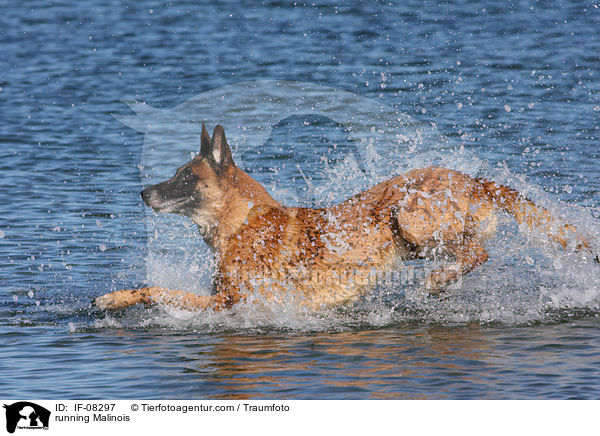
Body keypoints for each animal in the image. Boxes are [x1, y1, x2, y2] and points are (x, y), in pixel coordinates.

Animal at [94, 124, 596, 312]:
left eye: (184, 178)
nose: (143, 192)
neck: (241, 222)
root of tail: (474, 181)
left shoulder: (226, 303)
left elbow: (156, 290)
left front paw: (115, 299)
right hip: (413, 242)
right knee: (470, 253)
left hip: (409, 215)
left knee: (478, 251)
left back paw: (434, 284)